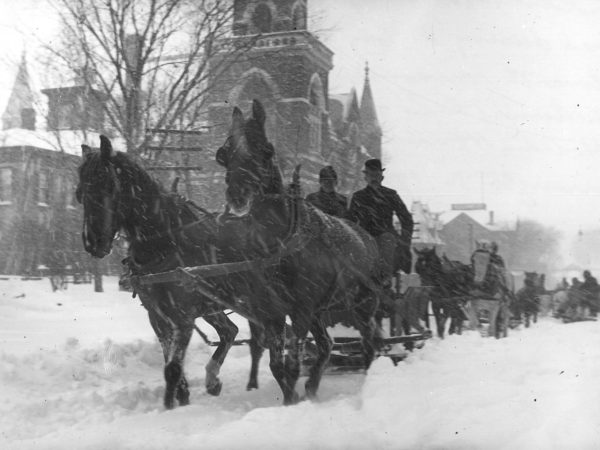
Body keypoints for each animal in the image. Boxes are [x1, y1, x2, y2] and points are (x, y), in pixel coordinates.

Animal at [75, 135, 258, 410]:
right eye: (80, 193)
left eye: (108, 186)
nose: (92, 242)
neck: (165, 242)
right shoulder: (158, 316)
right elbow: (170, 362)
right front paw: (182, 396)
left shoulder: (183, 318)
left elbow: (172, 368)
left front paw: (170, 407)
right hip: (213, 305)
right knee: (230, 331)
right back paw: (213, 380)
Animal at [216, 100, 380, 406]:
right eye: (224, 153)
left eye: (267, 150)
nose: (237, 197)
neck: (277, 244)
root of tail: (365, 237)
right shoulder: (272, 312)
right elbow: (276, 364)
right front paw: (292, 396)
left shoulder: (300, 309)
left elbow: (292, 363)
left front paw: (292, 400)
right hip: (319, 310)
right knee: (326, 344)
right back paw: (312, 387)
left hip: (363, 304)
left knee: (369, 343)